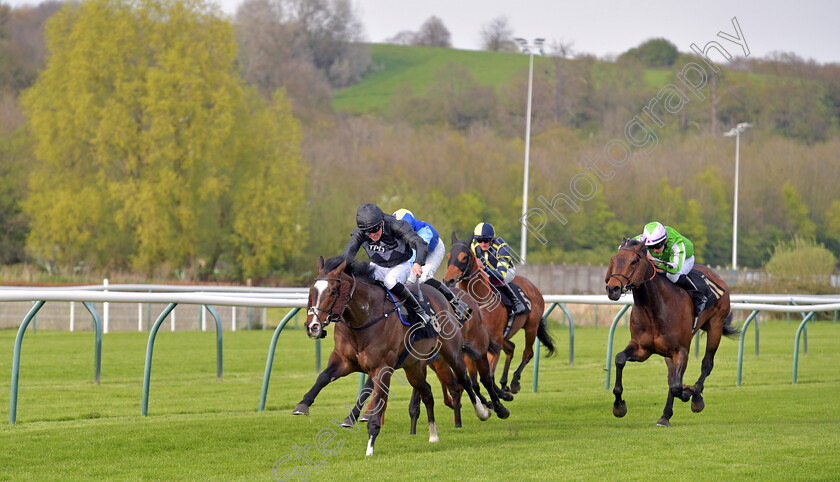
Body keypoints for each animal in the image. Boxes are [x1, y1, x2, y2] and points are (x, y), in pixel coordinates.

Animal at [296, 256, 488, 456]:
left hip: (451, 352)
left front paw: (370, 448)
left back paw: (482, 412)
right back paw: (433, 435)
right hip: (413, 367)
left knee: (464, 379)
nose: (313, 327)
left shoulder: (382, 369)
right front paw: (302, 405)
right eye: (311, 291)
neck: (364, 318)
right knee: (427, 392)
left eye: (333, 292)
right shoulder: (344, 361)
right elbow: (323, 377)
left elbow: (375, 403)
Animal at [442, 233, 556, 396]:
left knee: (528, 353)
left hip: (531, 327)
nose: (448, 280)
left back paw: (514, 382)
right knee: (511, 348)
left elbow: (488, 374)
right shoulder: (473, 346)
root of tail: (533, 287)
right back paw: (503, 383)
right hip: (506, 335)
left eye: (464, 257)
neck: (479, 304)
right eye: (449, 255)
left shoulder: (494, 341)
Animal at [604, 237, 736, 426]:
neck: (654, 306)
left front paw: (689, 392)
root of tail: (717, 277)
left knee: (706, 364)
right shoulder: (642, 349)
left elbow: (676, 386)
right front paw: (619, 406)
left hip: (715, 326)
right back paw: (665, 415)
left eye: (634, 261)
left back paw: (696, 398)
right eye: (613, 260)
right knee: (672, 376)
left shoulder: (681, 350)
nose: (612, 289)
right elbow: (620, 359)